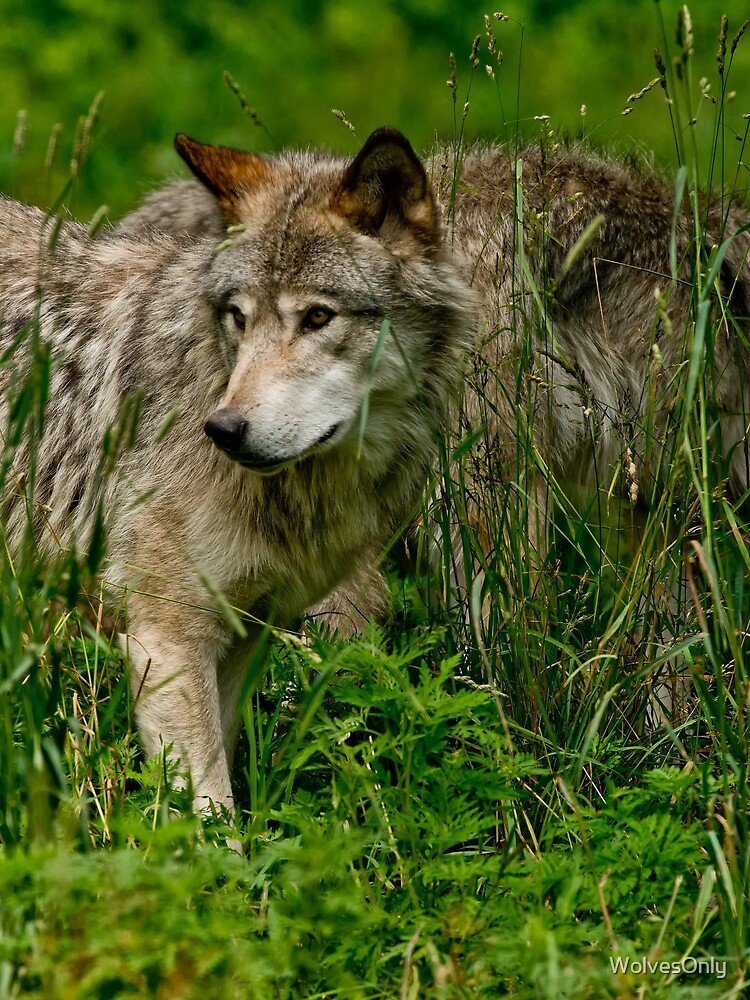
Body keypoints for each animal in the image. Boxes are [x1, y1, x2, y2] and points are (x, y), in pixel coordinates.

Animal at [0, 128, 476, 828]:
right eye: (238, 317)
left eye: (317, 318)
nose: (223, 430)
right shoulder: (167, 639)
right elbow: (207, 813)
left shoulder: (247, 631)